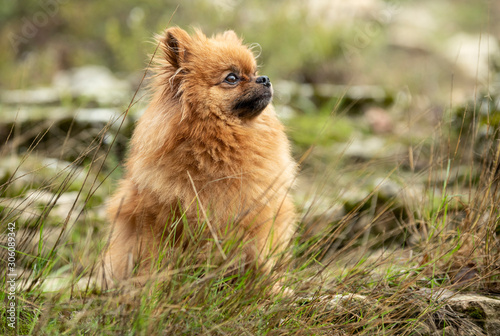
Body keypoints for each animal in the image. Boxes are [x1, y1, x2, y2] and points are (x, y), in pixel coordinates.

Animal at [101, 26, 296, 284]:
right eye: (232, 78)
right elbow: (154, 264)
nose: (264, 79)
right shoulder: (157, 222)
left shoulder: (256, 218)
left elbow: (260, 263)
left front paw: (271, 289)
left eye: (254, 72)